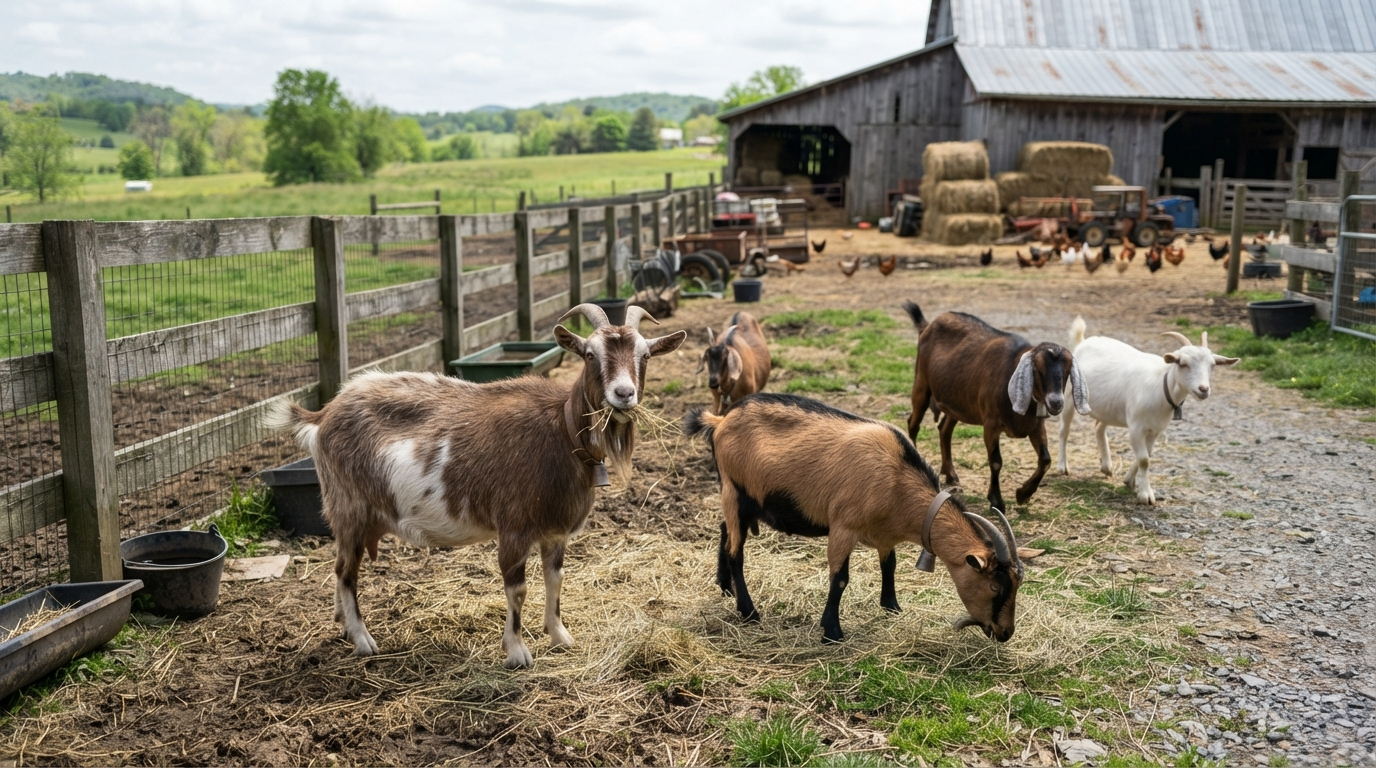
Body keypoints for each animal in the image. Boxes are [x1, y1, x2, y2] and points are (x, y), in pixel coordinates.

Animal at [265, 304, 686, 666]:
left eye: (645, 355)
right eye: (588, 354)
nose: (623, 394)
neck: (562, 430)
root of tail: (322, 414)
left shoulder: (555, 530)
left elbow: (555, 580)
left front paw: (560, 636)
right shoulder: (514, 526)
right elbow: (518, 589)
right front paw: (517, 651)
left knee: (340, 568)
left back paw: (342, 624)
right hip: (348, 504)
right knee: (345, 571)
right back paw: (363, 640)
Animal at [685, 393, 1025, 642]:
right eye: (995, 588)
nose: (1005, 633)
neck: (897, 477)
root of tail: (721, 420)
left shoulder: (884, 535)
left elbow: (889, 565)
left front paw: (892, 606)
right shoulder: (843, 527)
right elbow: (840, 579)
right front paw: (832, 631)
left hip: (740, 498)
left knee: (725, 529)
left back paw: (725, 586)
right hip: (735, 488)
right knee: (736, 551)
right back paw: (749, 611)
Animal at [903, 301, 1089, 511]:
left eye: (1067, 372)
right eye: (1038, 370)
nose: (1056, 402)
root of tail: (928, 325)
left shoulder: (1036, 425)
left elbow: (1045, 460)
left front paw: (1023, 494)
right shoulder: (990, 423)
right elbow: (996, 462)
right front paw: (996, 500)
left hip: (957, 402)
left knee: (944, 430)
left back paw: (951, 476)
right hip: (922, 384)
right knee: (913, 423)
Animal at [1057, 318, 1238, 505]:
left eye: (1212, 366)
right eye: (1182, 363)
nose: (1203, 389)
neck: (1161, 386)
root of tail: (1083, 342)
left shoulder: (1155, 429)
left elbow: (1147, 455)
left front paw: (1129, 480)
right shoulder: (1136, 428)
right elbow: (1144, 460)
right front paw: (1146, 495)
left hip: (1107, 407)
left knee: (1099, 429)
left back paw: (1106, 466)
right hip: (1070, 397)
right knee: (1064, 431)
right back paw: (1063, 467)